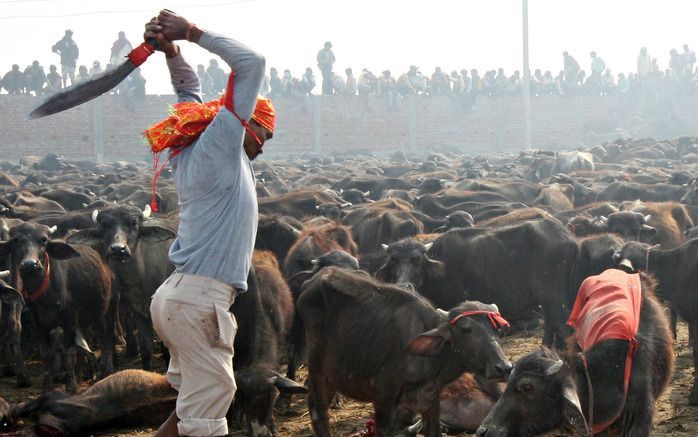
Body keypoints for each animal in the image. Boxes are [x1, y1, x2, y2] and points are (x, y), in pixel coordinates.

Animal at [0, 221, 115, 392]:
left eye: (43, 240)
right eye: (16, 241)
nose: (30, 264)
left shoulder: (69, 321)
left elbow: (69, 352)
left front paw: (71, 387)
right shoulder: (40, 324)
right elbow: (48, 354)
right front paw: (47, 388)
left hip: (104, 311)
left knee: (105, 339)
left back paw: (104, 373)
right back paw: (82, 374)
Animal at [67, 206, 177, 370]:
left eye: (133, 223)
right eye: (104, 225)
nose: (118, 249)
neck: (140, 277)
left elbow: (167, 350)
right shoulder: (138, 310)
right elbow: (146, 348)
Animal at [294, 266, 512, 436]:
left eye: (498, 329)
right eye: (466, 329)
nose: (504, 367)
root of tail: (312, 281)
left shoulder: (430, 402)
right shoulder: (383, 401)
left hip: (332, 374)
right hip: (316, 366)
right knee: (318, 412)